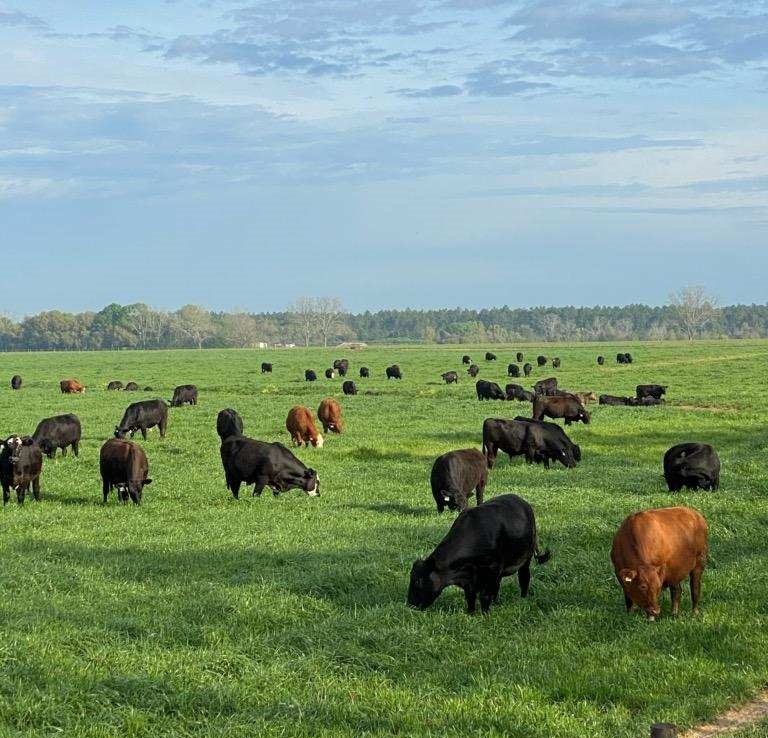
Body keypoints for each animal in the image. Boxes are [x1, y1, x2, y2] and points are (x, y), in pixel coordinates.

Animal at [408, 494, 552, 616]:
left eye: (418, 580)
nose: (410, 603)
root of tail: (523, 503)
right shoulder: (470, 579)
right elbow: (470, 597)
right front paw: (470, 613)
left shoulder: (492, 569)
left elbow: (485, 595)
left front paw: (485, 614)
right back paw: (496, 602)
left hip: (526, 558)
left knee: (524, 578)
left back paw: (523, 598)